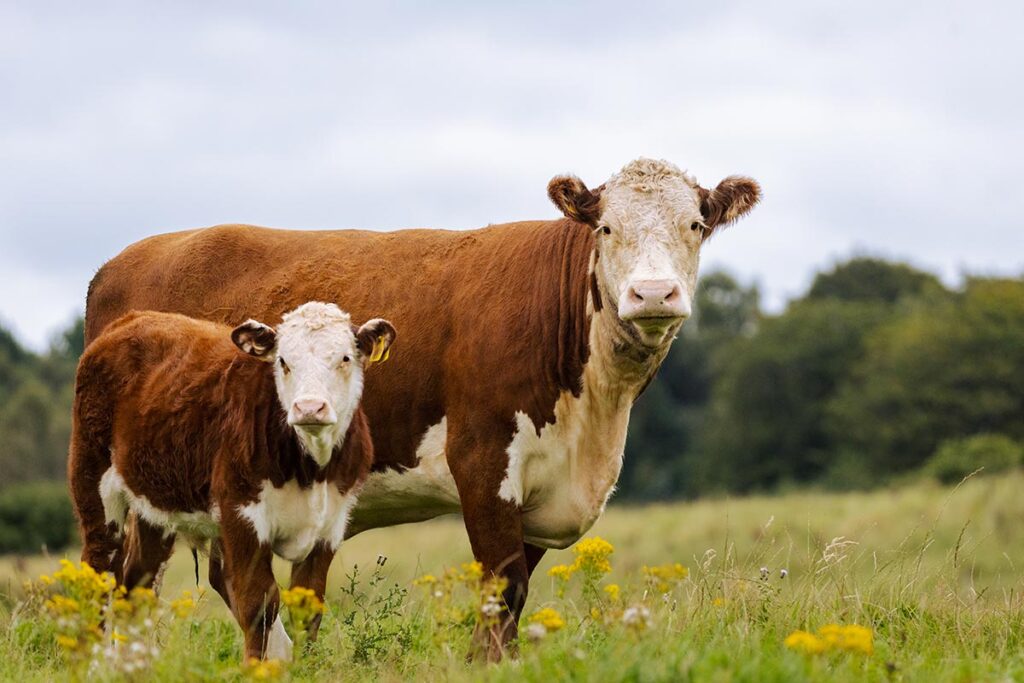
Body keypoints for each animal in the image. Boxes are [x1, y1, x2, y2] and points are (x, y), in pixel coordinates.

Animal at [69, 301, 395, 659]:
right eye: (283, 361)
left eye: (345, 358)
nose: (309, 407)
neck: (311, 468)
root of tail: (133, 319)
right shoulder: (241, 515)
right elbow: (259, 604)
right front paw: (256, 666)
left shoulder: (330, 525)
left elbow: (308, 607)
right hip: (94, 482)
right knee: (98, 571)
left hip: (154, 504)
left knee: (137, 583)